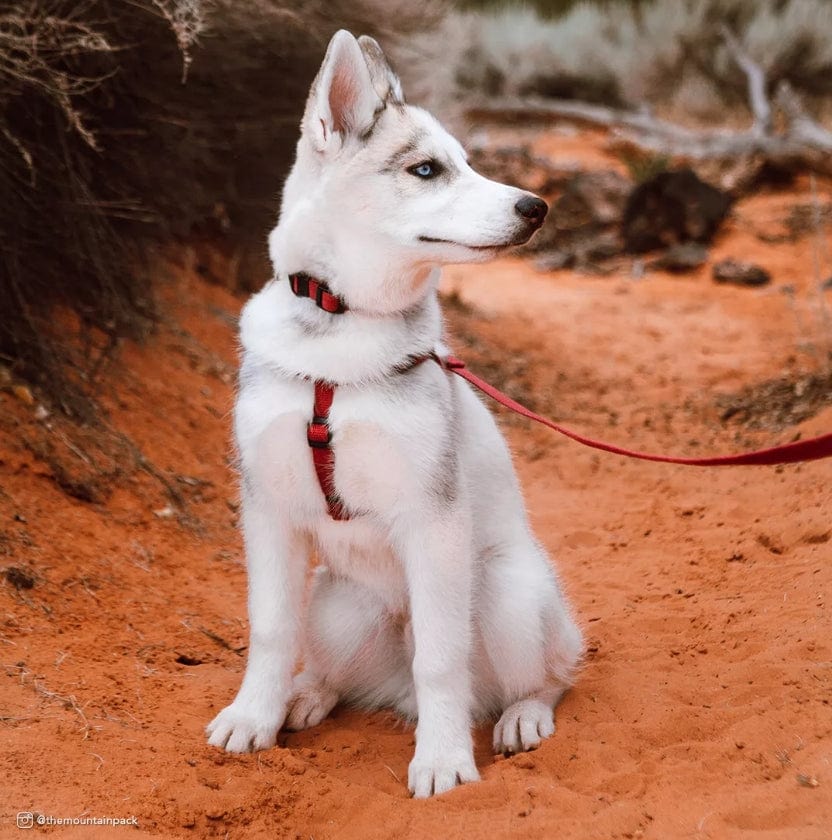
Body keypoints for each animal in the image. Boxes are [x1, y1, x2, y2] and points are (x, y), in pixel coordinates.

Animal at [206, 29, 584, 796]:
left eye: (467, 163)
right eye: (427, 169)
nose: (535, 206)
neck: (341, 331)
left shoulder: (432, 523)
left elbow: (439, 659)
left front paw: (442, 759)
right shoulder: (268, 513)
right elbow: (270, 632)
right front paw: (253, 716)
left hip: (507, 591)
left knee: (545, 675)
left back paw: (522, 717)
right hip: (336, 604)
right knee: (339, 669)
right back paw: (307, 697)